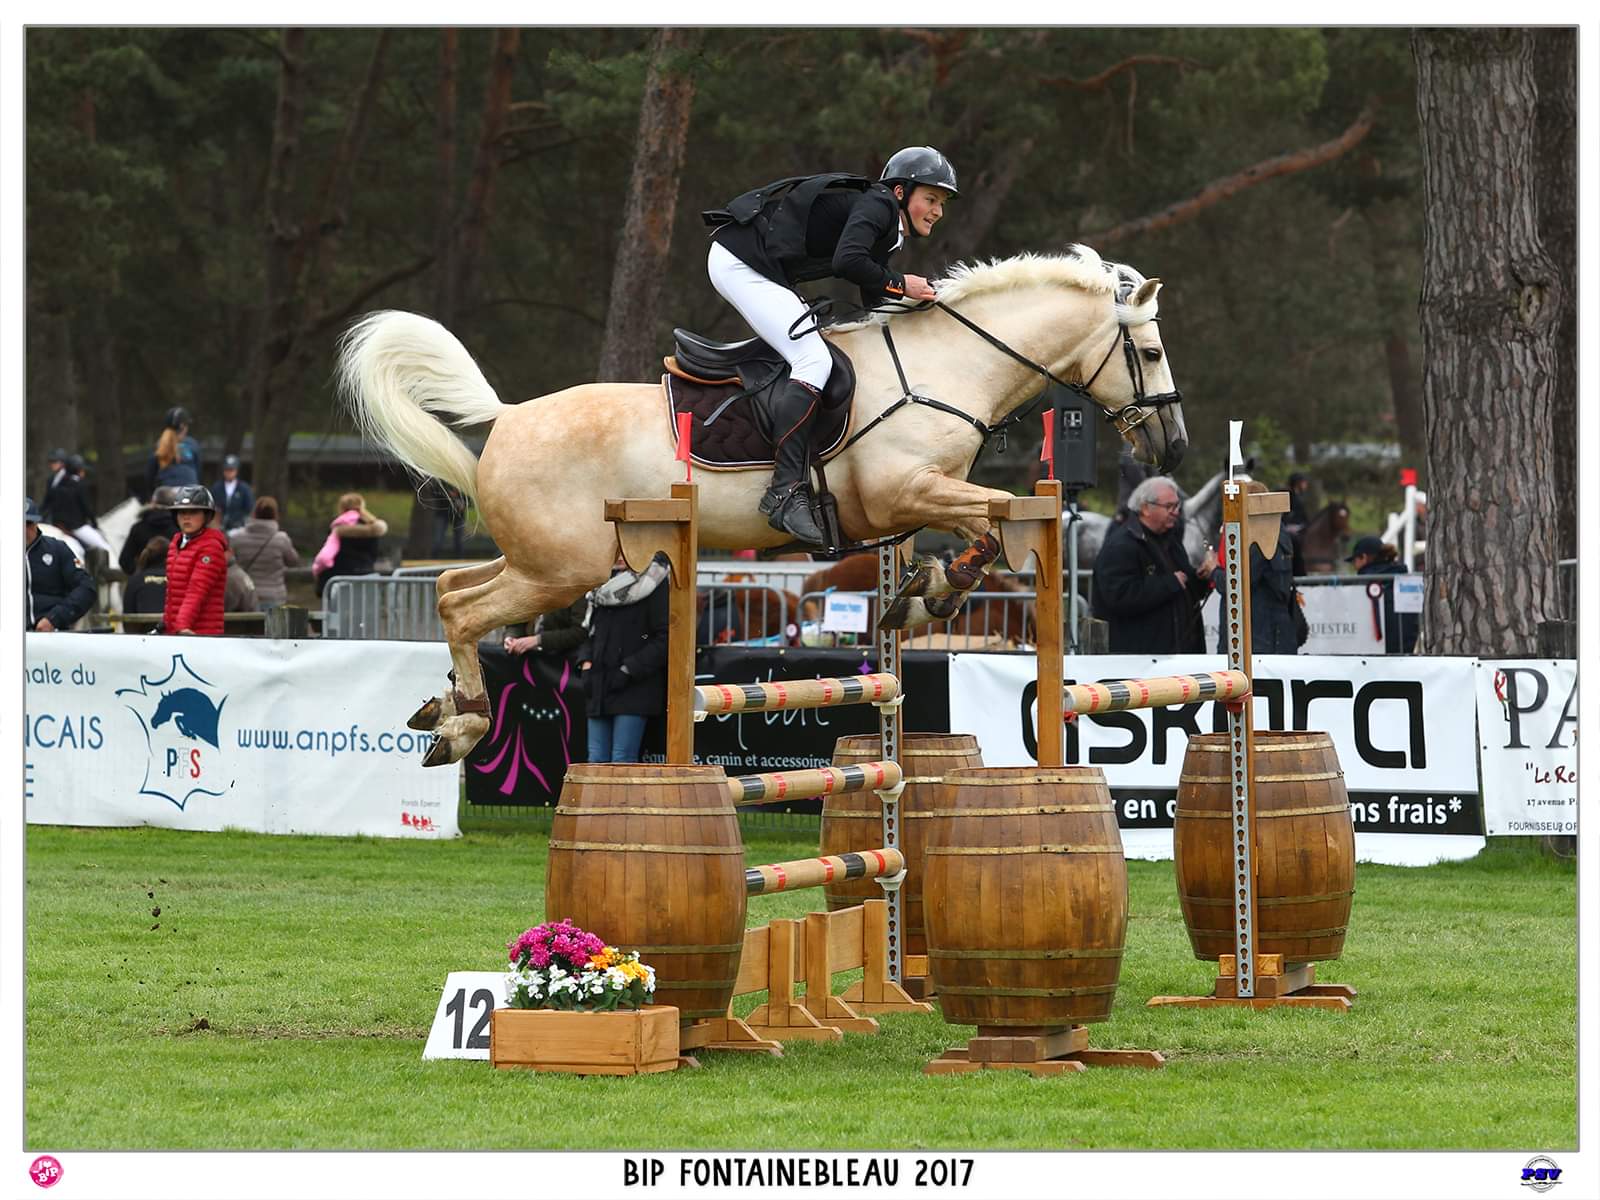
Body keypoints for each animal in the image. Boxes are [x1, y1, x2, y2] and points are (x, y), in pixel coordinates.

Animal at [337, 244, 1188, 765]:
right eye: (1148, 352)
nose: (1173, 449)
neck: (949, 367)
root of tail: (508, 416)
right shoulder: (906, 489)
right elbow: (993, 518)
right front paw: (939, 593)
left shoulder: (904, 511)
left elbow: (968, 533)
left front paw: (919, 599)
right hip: (562, 568)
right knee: (462, 610)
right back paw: (466, 725)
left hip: (549, 559)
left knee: (452, 587)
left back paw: (442, 712)